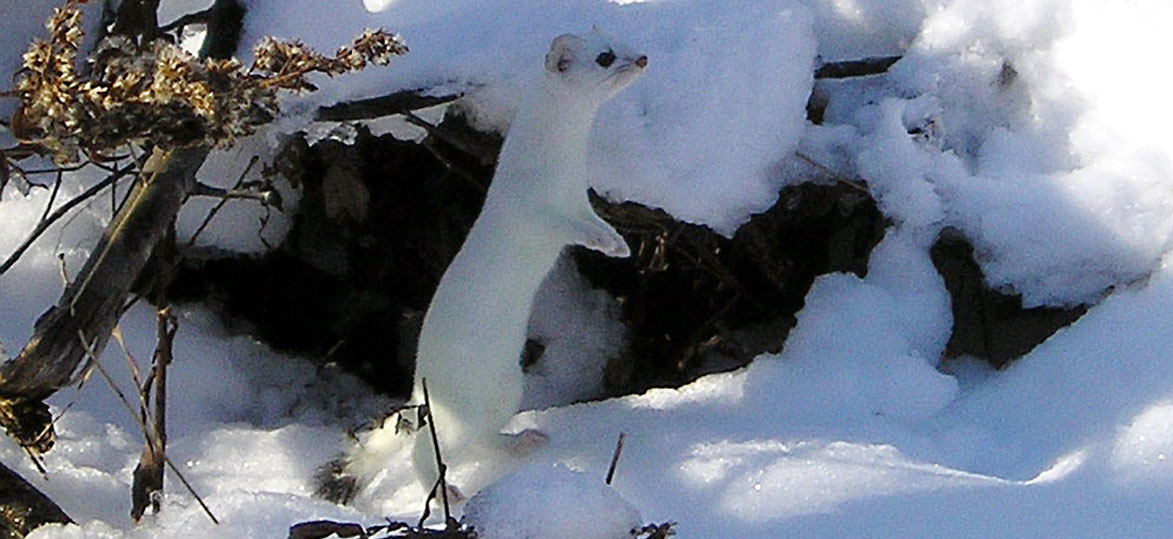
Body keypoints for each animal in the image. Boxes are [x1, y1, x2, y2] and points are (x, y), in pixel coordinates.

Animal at [412, 28, 652, 492]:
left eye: (622, 37)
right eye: (605, 56)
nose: (644, 58)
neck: (560, 172)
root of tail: (419, 384)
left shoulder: (580, 198)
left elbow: (592, 221)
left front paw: (618, 243)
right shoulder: (536, 212)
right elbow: (570, 230)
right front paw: (604, 241)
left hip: (509, 388)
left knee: (485, 438)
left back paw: (524, 441)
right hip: (458, 404)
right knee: (426, 452)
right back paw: (447, 488)